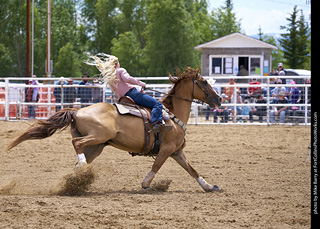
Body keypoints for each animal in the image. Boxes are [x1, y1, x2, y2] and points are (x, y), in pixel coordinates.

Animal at [8, 67, 222, 192]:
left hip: (97, 146)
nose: (219, 99)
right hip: (97, 136)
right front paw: (146, 183)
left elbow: (192, 169)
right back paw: (82, 169)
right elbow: (156, 166)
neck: (172, 114)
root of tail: (77, 111)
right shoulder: (167, 149)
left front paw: (209, 186)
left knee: (79, 153)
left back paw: (77, 176)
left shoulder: (177, 151)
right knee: (76, 143)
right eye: (204, 82)